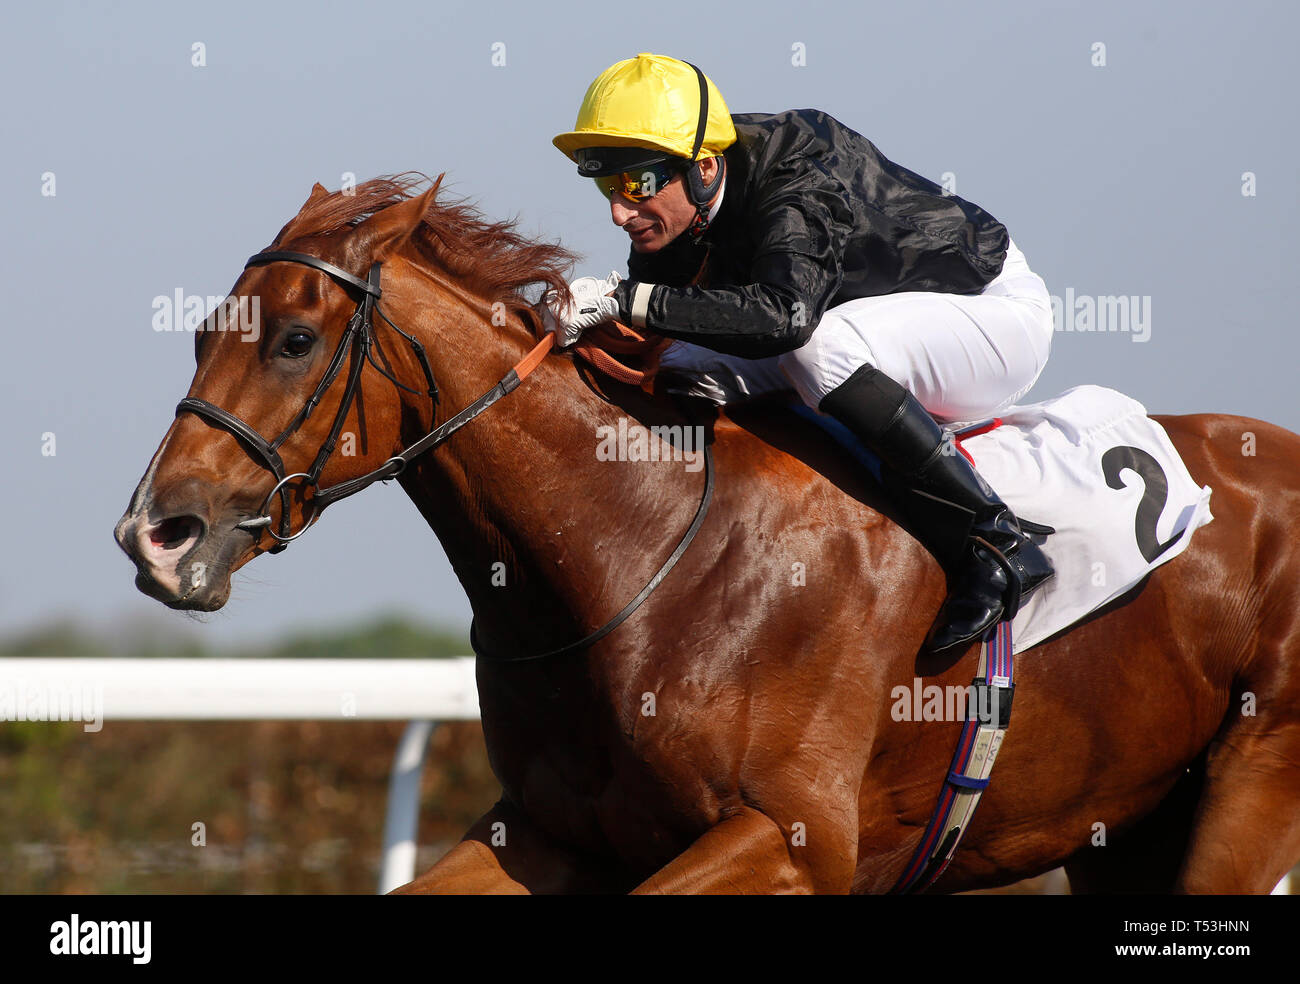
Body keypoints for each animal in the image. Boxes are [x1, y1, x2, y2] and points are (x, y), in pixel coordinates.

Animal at [114, 174, 1300, 889]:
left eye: (295, 340)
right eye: (200, 333)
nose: (154, 535)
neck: (630, 553)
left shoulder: (790, 838)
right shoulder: (547, 835)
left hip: (1252, 781)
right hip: (1123, 824)